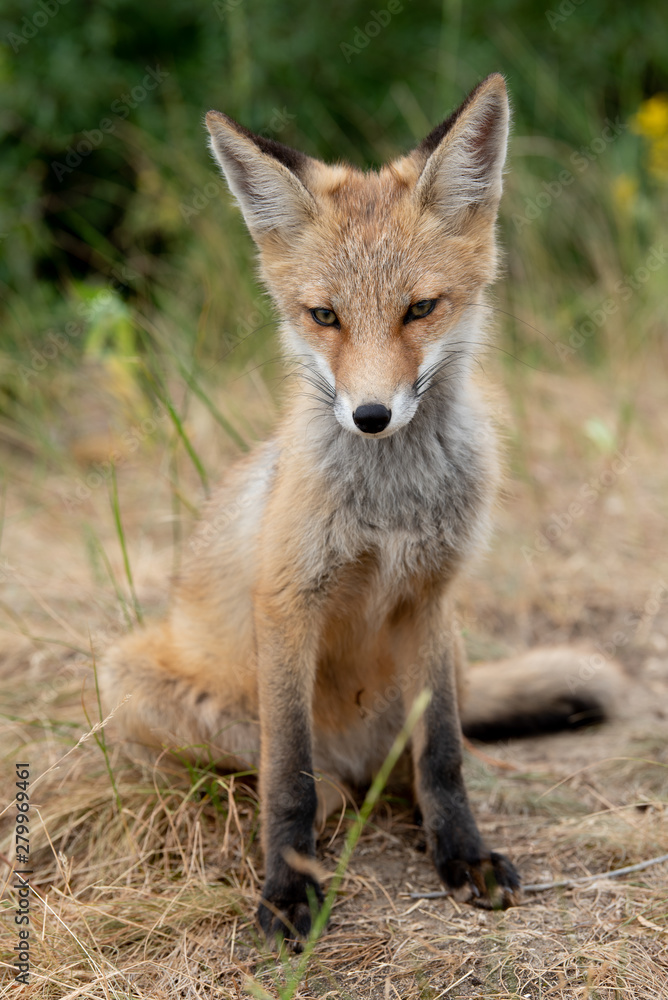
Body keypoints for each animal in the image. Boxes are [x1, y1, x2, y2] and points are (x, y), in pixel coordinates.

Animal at [102, 74, 624, 948]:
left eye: (419, 308)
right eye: (325, 317)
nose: (371, 415)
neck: (391, 511)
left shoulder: (430, 597)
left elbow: (443, 755)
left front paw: (462, 855)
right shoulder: (288, 602)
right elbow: (289, 775)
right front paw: (288, 888)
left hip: (447, 655)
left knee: (415, 763)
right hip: (128, 678)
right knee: (315, 783)